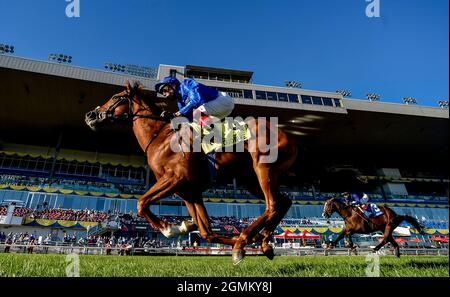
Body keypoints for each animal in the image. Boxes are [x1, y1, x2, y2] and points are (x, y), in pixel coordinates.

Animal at [85, 81, 298, 264]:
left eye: (115, 97)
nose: (90, 115)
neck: (160, 138)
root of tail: (288, 136)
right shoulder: (189, 192)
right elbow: (206, 232)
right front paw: (185, 226)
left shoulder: (175, 179)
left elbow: (141, 203)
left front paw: (169, 228)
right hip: (251, 180)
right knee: (284, 202)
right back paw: (263, 242)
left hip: (263, 168)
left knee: (272, 205)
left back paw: (246, 238)